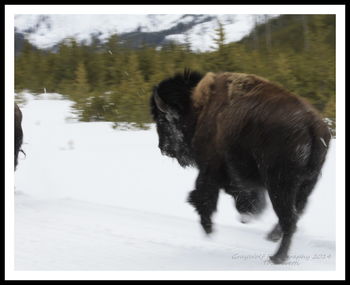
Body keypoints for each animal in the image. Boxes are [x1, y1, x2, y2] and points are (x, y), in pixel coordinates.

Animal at [150, 69, 330, 264]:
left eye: (162, 120)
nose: (163, 148)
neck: (198, 107)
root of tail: (313, 126)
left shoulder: (210, 168)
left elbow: (204, 195)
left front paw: (208, 228)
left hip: (280, 185)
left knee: (289, 218)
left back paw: (277, 257)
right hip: (307, 183)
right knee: (296, 212)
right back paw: (272, 237)